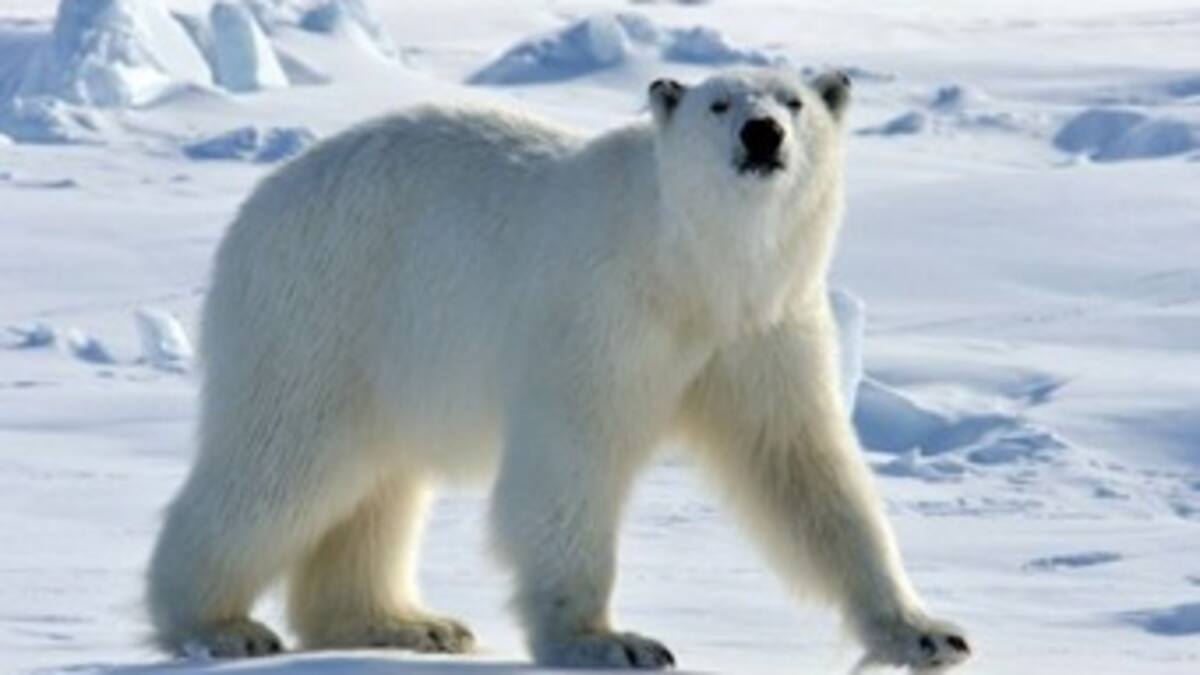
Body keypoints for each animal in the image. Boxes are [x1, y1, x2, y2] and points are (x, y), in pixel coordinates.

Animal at [146, 67, 971, 671]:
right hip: (323, 309)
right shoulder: (601, 312)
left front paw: (927, 632)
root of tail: (259, 203)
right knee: (281, 460)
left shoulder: (762, 328)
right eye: (719, 102)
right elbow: (571, 459)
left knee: (375, 487)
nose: (762, 131)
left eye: (795, 101)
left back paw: (407, 622)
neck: (688, 267)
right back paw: (219, 624)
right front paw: (608, 641)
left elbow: (805, 467)